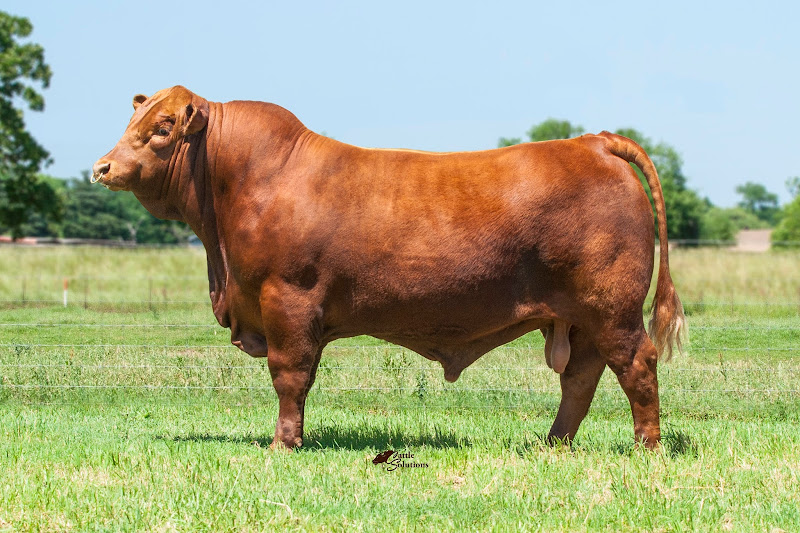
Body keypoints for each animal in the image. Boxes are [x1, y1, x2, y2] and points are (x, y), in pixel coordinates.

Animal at [92, 86, 685, 450]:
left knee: (636, 365)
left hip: (612, 308)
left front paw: (284, 443)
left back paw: (646, 447)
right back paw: (553, 444)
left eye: (163, 126)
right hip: (581, 318)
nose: (102, 167)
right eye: (132, 119)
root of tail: (594, 141)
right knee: (580, 377)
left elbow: (290, 375)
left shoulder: (287, 301)